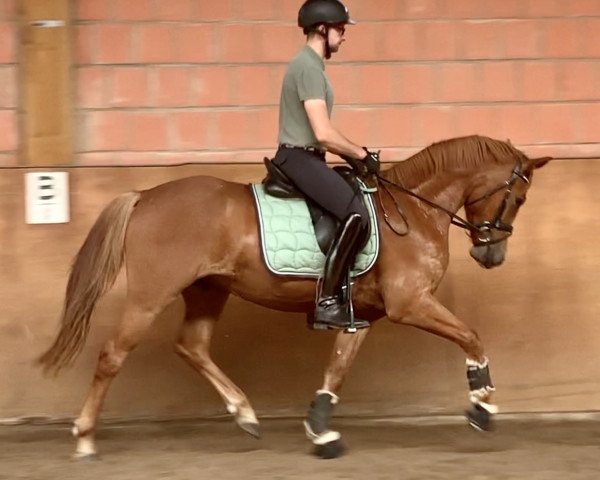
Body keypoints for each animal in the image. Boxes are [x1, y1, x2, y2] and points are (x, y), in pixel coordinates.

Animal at [37, 134, 552, 458]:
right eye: (519, 199)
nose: (491, 254)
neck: (413, 209)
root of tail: (146, 195)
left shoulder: (361, 315)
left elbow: (337, 368)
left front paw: (320, 430)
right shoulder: (410, 304)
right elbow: (471, 336)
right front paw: (482, 404)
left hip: (208, 290)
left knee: (192, 346)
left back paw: (245, 414)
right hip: (150, 295)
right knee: (113, 355)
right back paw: (85, 437)